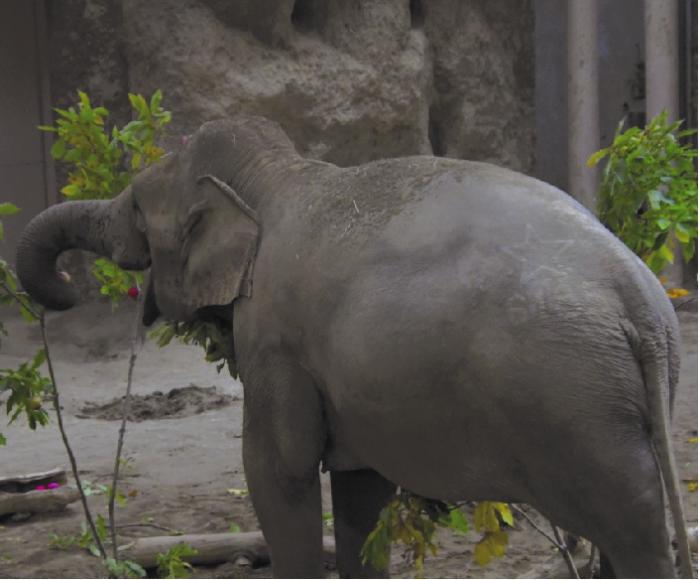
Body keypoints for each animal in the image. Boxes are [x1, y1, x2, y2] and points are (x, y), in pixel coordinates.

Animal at [17, 115, 696, 576]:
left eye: (135, 204)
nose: (69, 288)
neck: (277, 176)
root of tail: (640, 298)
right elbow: (359, 484)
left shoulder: (275, 337)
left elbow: (277, 470)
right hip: (617, 404)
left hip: (577, 408)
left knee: (632, 529)